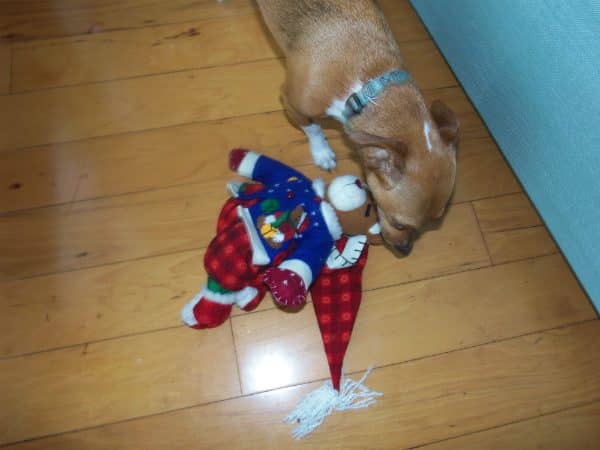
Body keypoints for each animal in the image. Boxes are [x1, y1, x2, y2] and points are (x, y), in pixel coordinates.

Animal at [254, 0, 460, 253]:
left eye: (434, 221)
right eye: (398, 223)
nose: (404, 250)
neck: (368, 83)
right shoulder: (292, 104)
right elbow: (313, 129)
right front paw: (322, 152)